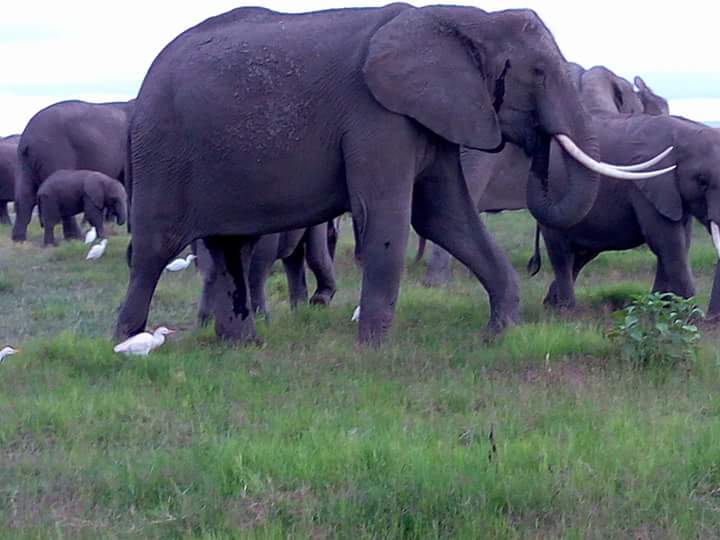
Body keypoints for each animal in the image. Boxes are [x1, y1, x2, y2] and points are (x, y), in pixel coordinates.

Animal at [12, 99, 134, 242]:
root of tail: (27, 139)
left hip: (24, 160)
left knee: (25, 195)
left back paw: (19, 240)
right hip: (54, 153)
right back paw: (75, 237)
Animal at [534, 114, 720, 313]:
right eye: (702, 181)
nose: (711, 318)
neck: (684, 133)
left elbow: (680, 242)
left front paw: (659, 309)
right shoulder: (647, 184)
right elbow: (667, 242)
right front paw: (689, 315)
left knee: (581, 255)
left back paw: (550, 304)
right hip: (551, 199)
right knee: (561, 253)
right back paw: (563, 311)